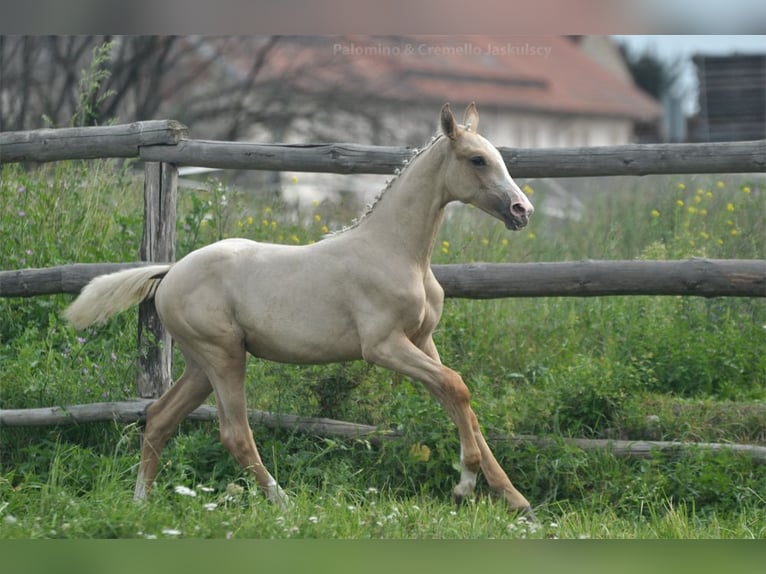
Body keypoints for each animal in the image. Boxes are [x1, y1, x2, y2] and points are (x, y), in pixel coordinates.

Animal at [64, 103, 536, 516]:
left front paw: (516, 501)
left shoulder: (422, 341)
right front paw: (465, 486)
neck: (397, 252)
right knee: (234, 433)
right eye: (477, 160)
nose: (522, 211)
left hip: (201, 365)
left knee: (159, 418)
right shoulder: (383, 346)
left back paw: (140, 502)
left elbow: (463, 405)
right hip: (224, 356)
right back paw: (282, 503)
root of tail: (169, 271)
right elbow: (457, 387)